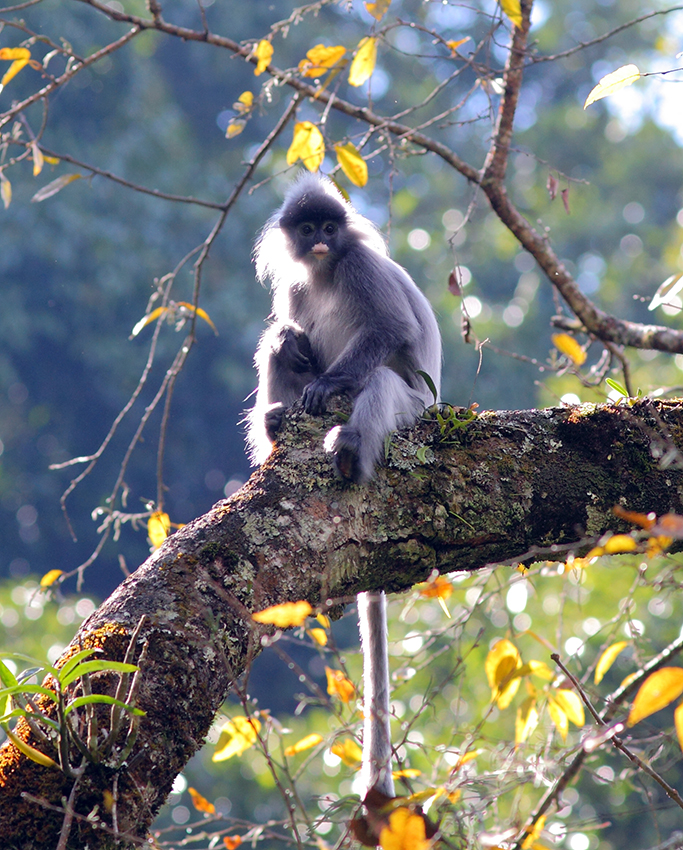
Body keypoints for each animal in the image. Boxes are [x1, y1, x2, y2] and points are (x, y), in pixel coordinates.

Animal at [246, 171, 444, 796]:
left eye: (331, 229)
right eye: (309, 227)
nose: (319, 241)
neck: (325, 271)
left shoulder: (360, 264)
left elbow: (393, 329)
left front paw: (326, 386)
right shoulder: (297, 284)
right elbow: (286, 332)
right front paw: (288, 361)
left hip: (413, 407)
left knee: (378, 377)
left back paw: (351, 449)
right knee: (283, 349)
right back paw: (275, 426)